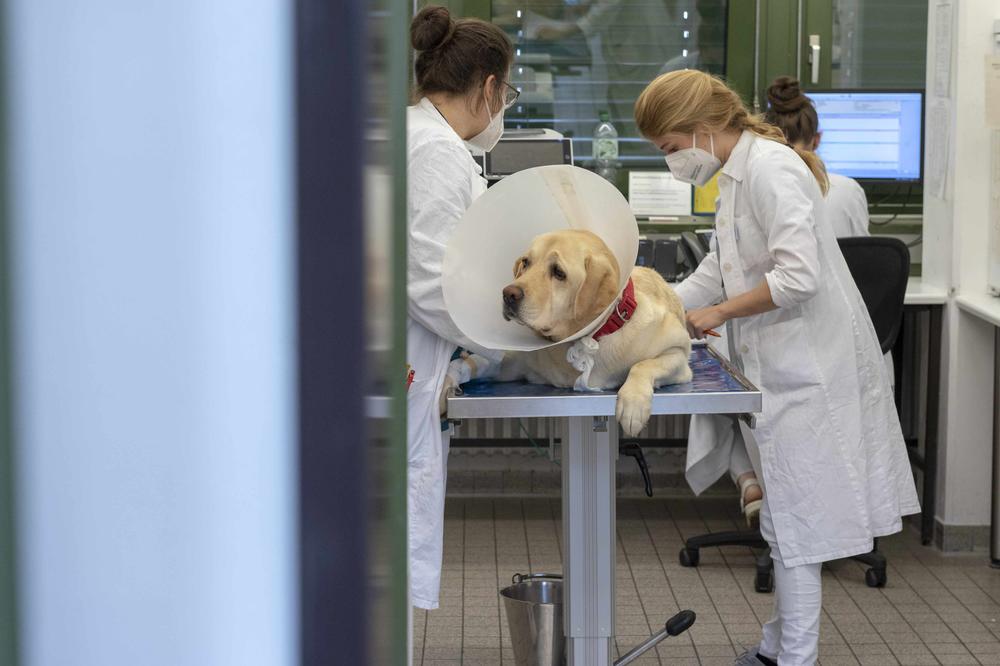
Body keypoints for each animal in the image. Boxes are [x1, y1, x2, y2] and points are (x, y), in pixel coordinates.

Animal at [448, 228, 692, 436]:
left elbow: (643, 365)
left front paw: (633, 405)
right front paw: (452, 374)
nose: (508, 294)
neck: (592, 337)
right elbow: (478, 362)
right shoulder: (516, 364)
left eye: (558, 272)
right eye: (526, 263)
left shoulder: (679, 354)